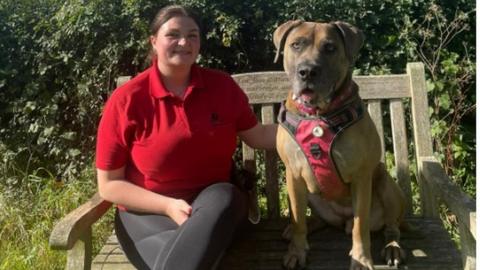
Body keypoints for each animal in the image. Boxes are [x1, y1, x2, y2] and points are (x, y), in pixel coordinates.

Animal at [274, 21, 404, 270]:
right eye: (296, 45)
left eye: (330, 48)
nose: (308, 71)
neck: (318, 115)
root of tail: (342, 218)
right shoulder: (293, 175)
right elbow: (298, 219)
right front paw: (297, 250)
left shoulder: (361, 177)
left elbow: (360, 226)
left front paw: (361, 259)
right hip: (311, 193)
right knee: (317, 219)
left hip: (385, 182)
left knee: (390, 226)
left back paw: (392, 247)